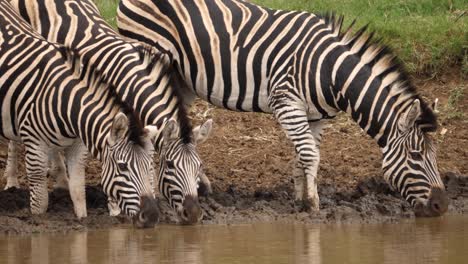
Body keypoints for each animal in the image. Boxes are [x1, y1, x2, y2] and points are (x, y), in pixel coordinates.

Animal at [7, 0, 214, 225]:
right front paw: (115, 208)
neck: (135, 86)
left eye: (199, 165)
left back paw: (61, 179)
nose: (193, 214)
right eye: (170, 165)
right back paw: (12, 179)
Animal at [118, 0, 450, 217]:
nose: (442, 206)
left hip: (181, 80)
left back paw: (199, 182)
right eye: (417, 156)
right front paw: (313, 205)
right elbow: (310, 155)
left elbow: (302, 156)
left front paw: (301, 198)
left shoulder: (315, 117)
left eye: (435, 155)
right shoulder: (287, 103)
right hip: (152, 60)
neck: (332, 73)